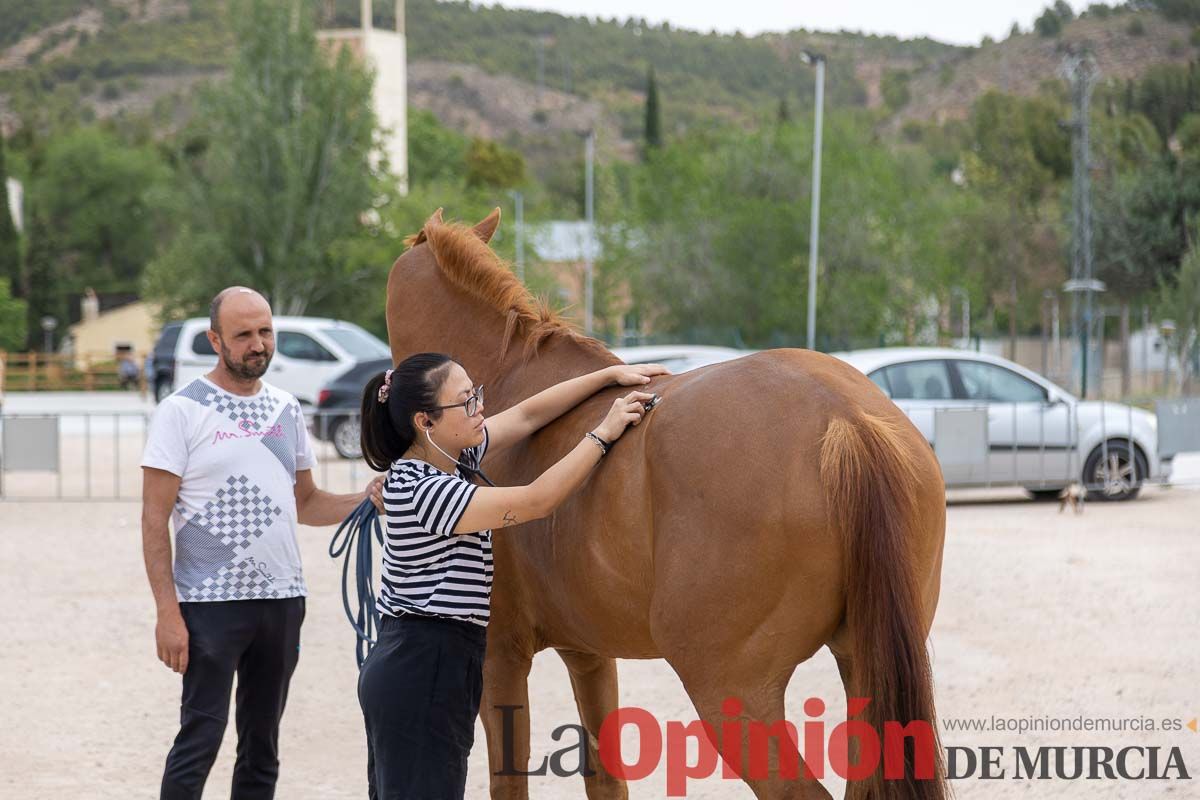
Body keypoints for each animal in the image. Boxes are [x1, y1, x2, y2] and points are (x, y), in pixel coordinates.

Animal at [384, 209, 945, 796]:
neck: (508, 378)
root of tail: (844, 418)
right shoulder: (588, 653)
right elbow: (605, 776)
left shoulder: (500, 655)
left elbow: (509, 781)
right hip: (862, 663)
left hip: (732, 690)